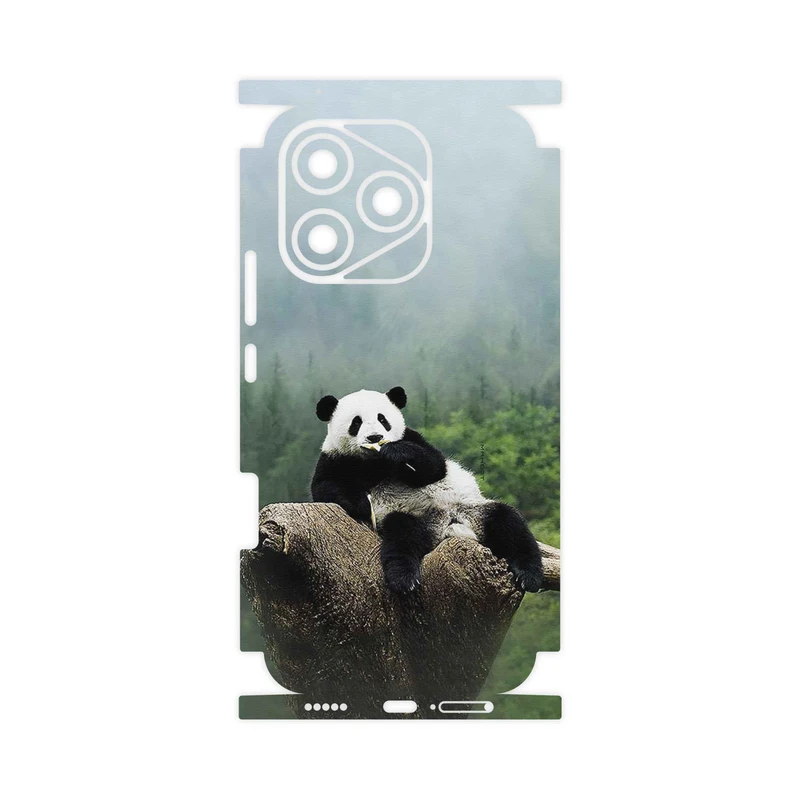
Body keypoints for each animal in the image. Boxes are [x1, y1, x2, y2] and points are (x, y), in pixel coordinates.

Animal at [311, 386, 544, 594]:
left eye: (382, 419)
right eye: (356, 422)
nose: (375, 438)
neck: (374, 462)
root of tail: (448, 524)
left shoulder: (412, 437)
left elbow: (435, 466)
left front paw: (397, 452)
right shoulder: (335, 458)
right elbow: (325, 487)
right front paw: (362, 503)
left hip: (473, 509)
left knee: (508, 523)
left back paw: (529, 575)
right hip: (414, 519)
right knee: (402, 536)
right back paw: (404, 579)